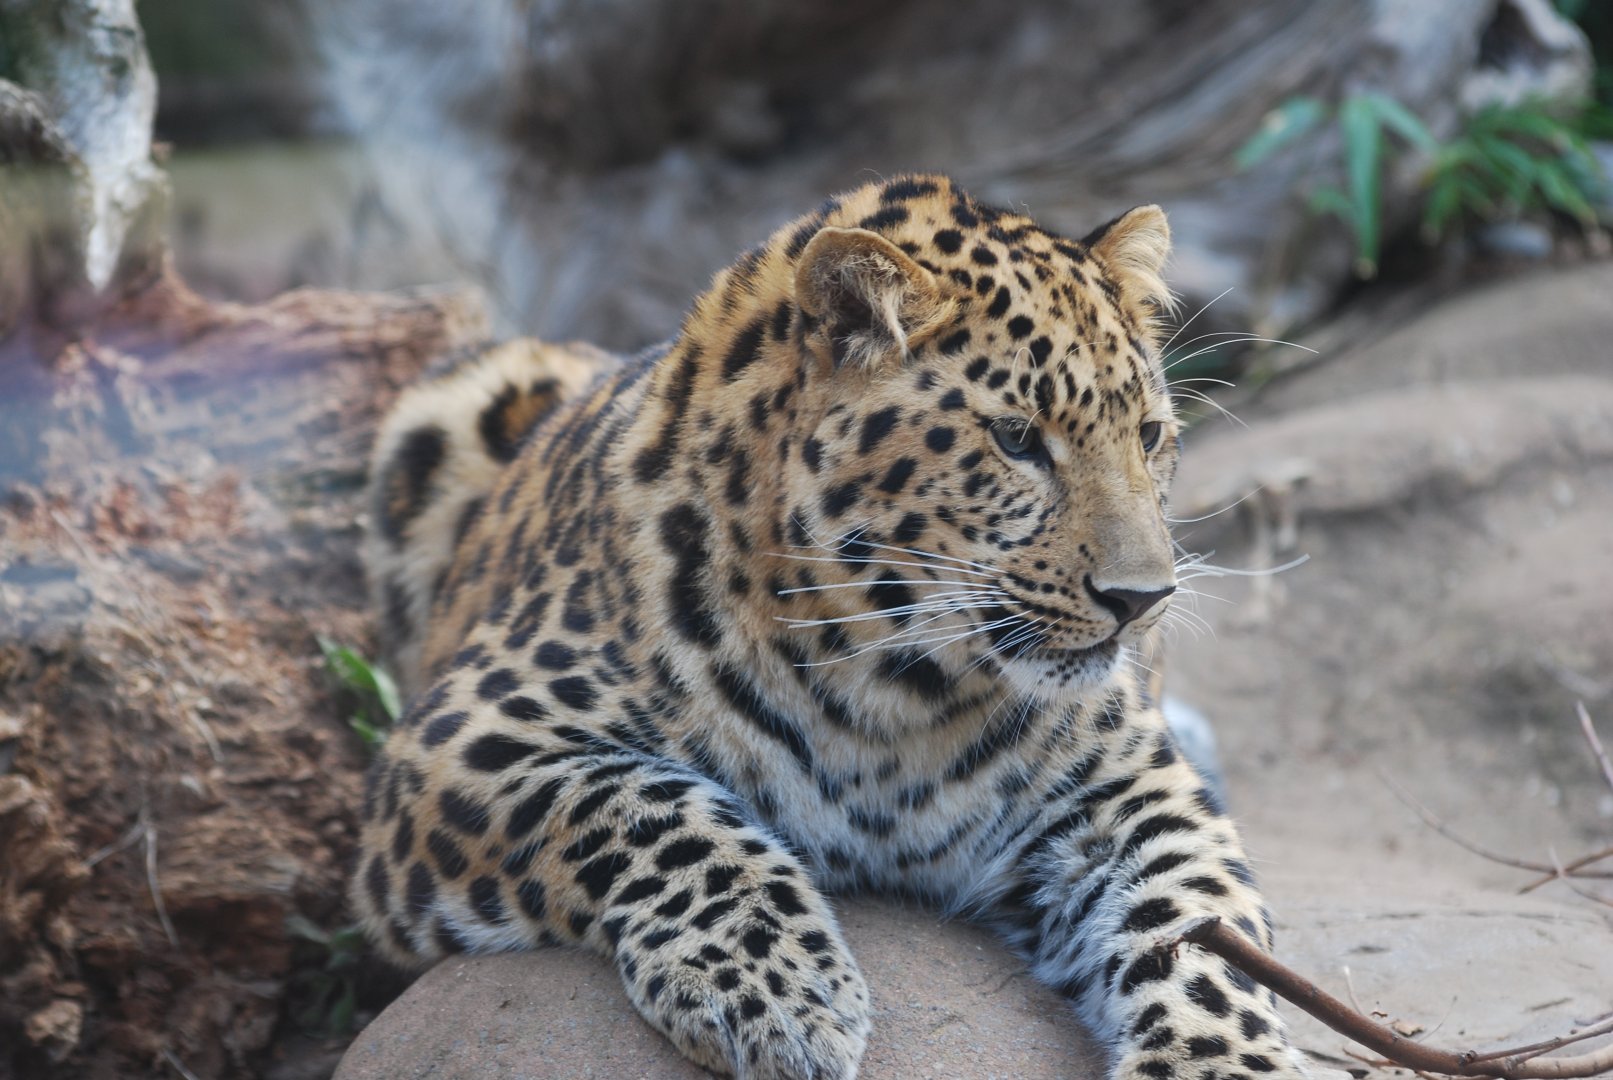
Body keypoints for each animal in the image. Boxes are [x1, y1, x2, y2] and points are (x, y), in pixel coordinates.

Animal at [352, 174, 1312, 1080]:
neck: (892, 688)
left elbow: (1200, 927)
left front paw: (1223, 1064)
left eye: (1148, 435)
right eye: (1016, 438)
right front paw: (768, 987)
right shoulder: (454, 743)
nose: (1142, 598)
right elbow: (649, 807)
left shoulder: (1126, 788)